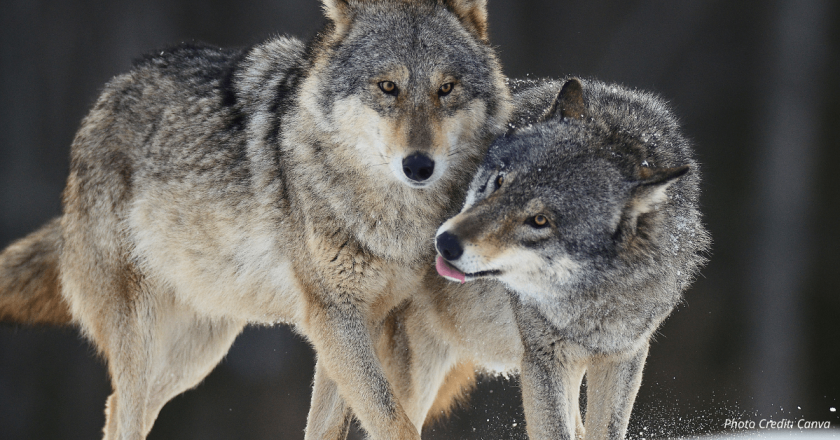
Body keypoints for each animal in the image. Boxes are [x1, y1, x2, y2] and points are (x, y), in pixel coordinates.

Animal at [0, 1, 512, 439]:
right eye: (388, 87)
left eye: (446, 89)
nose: (419, 166)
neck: (390, 214)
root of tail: (108, 94)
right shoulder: (335, 318)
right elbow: (393, 421)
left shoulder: (355, 325)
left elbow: (331, 427)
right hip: (144, 338)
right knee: (123, 411)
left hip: (196, 354)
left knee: (118, 409)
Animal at [427, 77, 711, 439]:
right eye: (500, 181)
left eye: (540, 220)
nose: (446, 242)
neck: (596, 299)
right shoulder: (544, 360)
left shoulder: (623, 356)